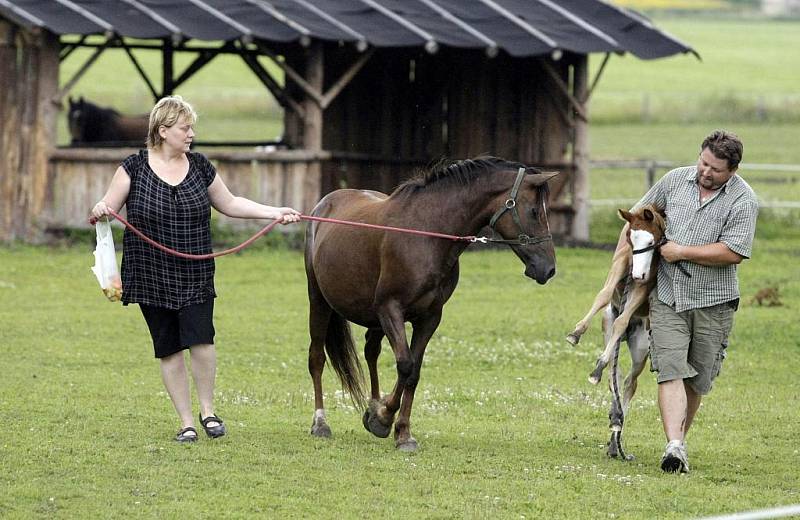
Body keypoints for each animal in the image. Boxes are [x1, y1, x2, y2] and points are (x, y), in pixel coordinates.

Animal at [304, 155, 560, 450]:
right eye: (534, 211)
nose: (548, 269)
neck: (426, 234)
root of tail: (326, 202)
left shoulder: (429, 318)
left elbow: (413, 372)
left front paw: (400, 431)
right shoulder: (390, 309)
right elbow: (405, 365)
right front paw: (385, 418)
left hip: (373, 318)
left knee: (371, 351)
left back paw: (372, 406)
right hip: (319, 301)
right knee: (317, 358)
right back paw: (320, 423)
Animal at [564, 206, 664, 460]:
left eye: (652, 241)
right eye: (631, 238)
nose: (637, 275)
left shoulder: (644, 284)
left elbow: (622, 319)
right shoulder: (620, 261)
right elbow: (604, 294)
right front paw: (575, 333)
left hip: (640, 350)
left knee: (629, 383)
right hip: (608, 332)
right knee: (614, 375)